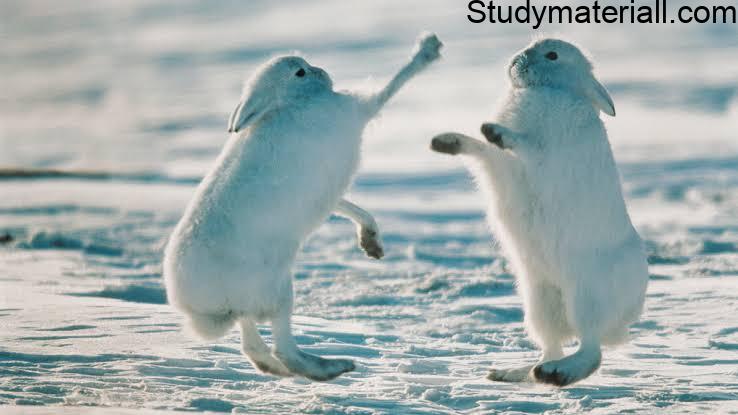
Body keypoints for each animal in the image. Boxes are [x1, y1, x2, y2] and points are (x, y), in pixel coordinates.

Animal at [163, 33, 443, 382]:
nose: (323, 72)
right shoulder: (351, 109)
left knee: (252, 345)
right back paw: (332, 367)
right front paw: (428, 49)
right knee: (283, 347)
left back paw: (281, 370)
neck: (288, 103)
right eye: (300, 72)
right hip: (278, 289)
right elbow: (391, 85)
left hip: (252, 300)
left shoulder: (328, 192)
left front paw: (372, 245)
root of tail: (196, 301)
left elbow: (348, 207)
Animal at [430, 38, 648, 387]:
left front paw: (495, 131)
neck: (550, 89)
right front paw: (445, 141)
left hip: (586, 296)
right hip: (539, 301)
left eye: (552, 55)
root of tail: (626, 318)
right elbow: (481, 150)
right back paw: (514, 373)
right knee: (552, 347)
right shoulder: (501, 164)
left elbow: (524, 145)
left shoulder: (544, 151)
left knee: (591, 351)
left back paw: (557, 374)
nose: (515, 61)